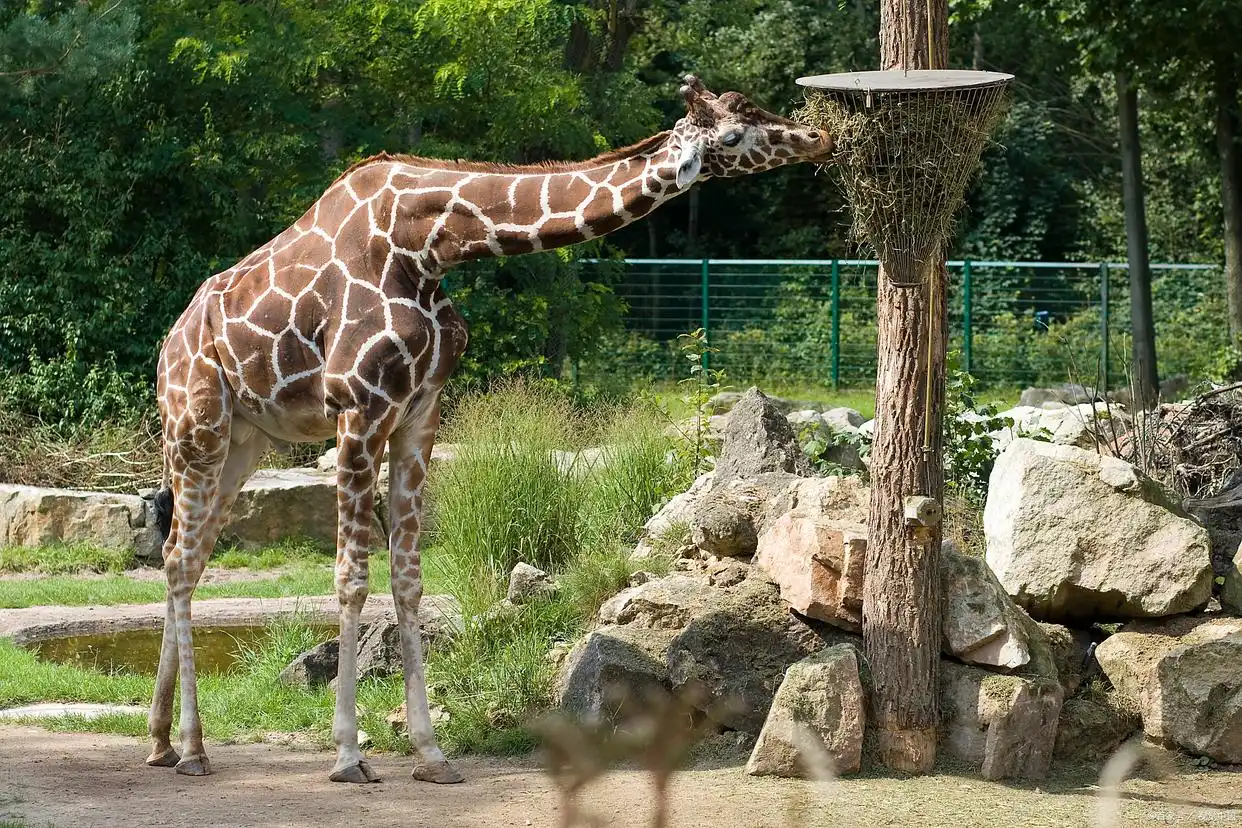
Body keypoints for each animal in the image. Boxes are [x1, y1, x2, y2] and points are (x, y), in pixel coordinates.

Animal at [148, 75, 833, 785]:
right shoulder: (358, 408)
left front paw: (430, 754)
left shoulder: (419, 414)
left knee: (184, 554)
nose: (819, 137)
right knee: (180, 559)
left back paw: (162, 740)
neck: (428, 246)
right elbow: (351, 579)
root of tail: (169, 342)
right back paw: (193, 749)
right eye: (734, 132)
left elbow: (408, 580)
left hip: (245, 441)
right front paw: (348, 756)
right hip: (197, 426)